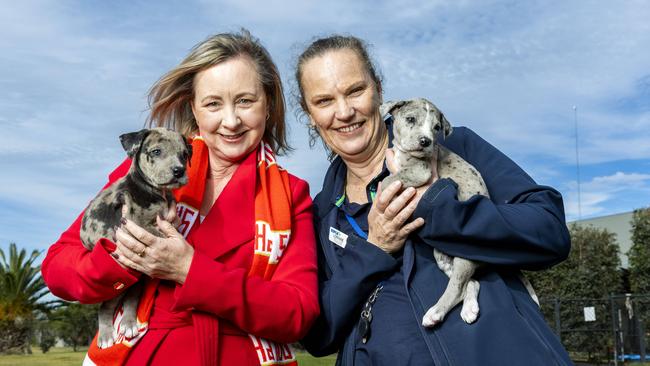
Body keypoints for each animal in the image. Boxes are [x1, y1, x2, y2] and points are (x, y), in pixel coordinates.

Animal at [79, 127, 190, 348]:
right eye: (156, 151)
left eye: (184, 154)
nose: (179, 171)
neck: (155, 191)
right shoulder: (136, 225)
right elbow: (160, 233)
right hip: (120, 284)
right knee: (106, 307)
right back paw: (106, 336)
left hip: (136, 281)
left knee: (131, 299)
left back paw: (129, 324)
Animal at [382, 98, 540, 328]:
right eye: (410, 119)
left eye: (436, 128)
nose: (425, 142)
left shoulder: (420, 171)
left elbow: (389, 180)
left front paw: (380, 197)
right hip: (443, 258)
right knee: (471, 283)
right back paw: (470, 309)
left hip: (463, 259)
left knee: (457, 288)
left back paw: (435, 313)